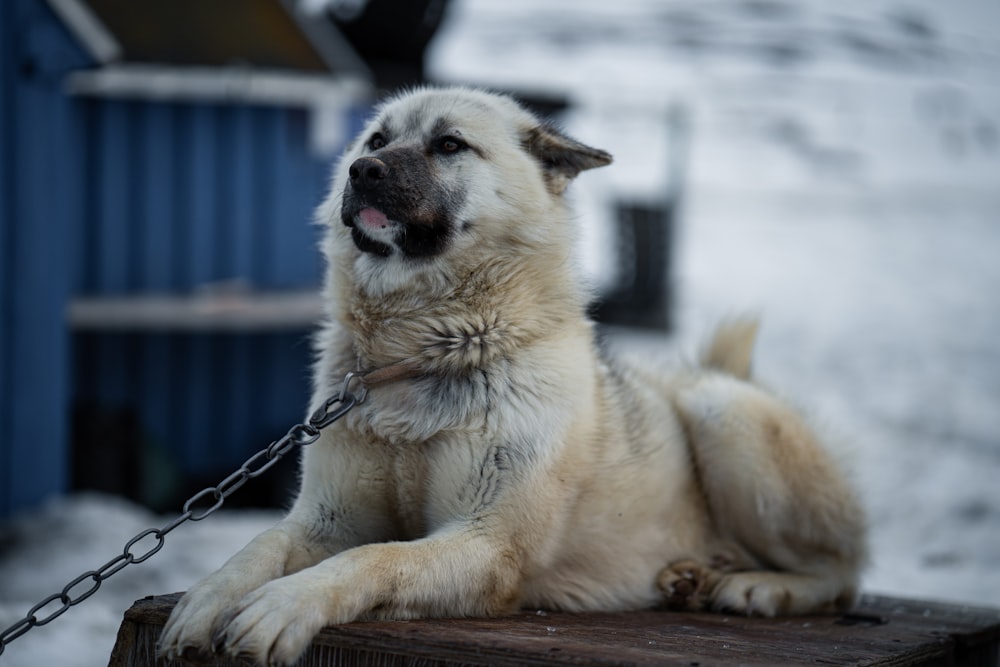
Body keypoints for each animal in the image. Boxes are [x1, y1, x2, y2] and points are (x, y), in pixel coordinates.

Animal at [160, 86, 864, 664]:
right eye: (377, 140)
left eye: (449, 144)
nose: (362, 171)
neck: (428, 348)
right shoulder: (325, 522)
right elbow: (260, 549)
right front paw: (204, 602)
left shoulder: (487, 544)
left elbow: (376, 558)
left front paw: (284, 606)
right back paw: (691, 577)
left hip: (723, 414)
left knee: (843, 573)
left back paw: (755, 585)